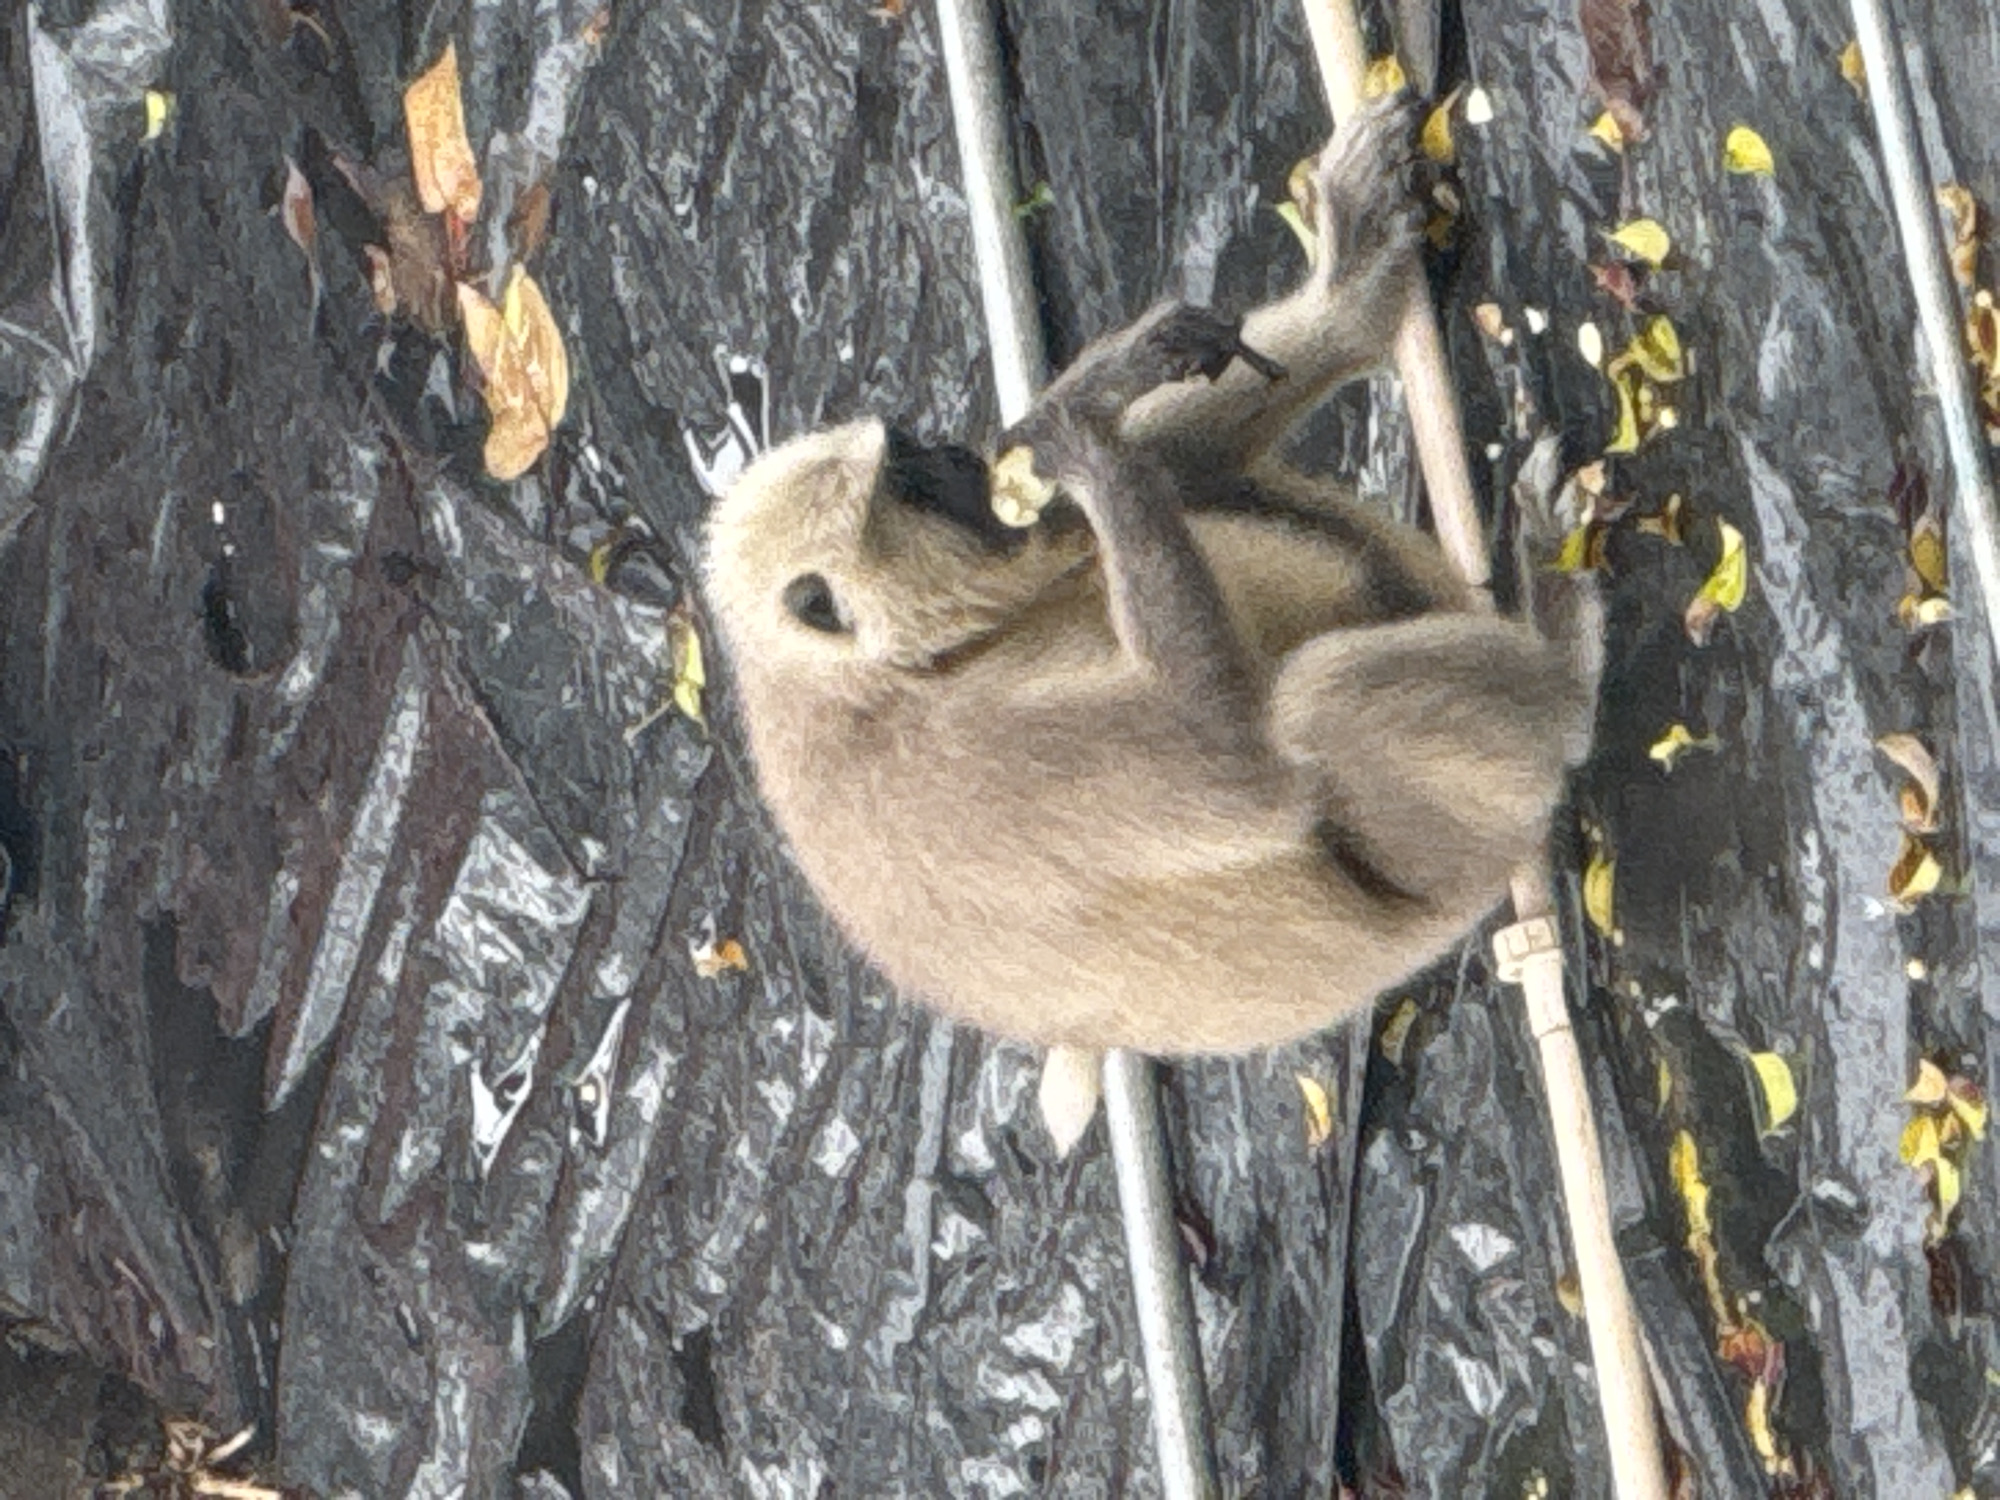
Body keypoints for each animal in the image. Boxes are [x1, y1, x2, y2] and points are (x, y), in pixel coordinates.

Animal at [699, 95, 1597, 1058]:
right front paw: (1086, 429)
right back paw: (1565, 675)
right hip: (1449, 855)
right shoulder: (945, 761)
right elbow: (1236, 767)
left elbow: (1164, 469)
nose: (963, 458)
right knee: (1318, 705)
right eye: (920, 479)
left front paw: (1345, 287)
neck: (861, 681)